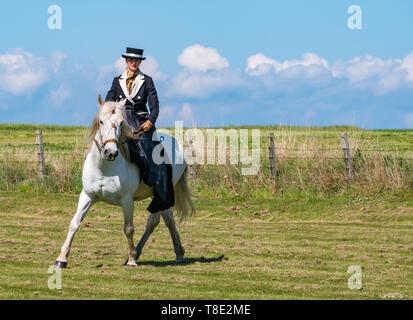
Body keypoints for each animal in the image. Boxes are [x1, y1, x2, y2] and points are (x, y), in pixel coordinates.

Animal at [54, 95, 195, 268]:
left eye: (121, 123)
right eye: (101, 121)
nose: (111, 152)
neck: (104, 168)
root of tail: (178, 144)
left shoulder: (127, 200)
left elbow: (128, 228)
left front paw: (132, 260)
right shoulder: (87, 196)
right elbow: (74, 223)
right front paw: (61, 259)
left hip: (162, 192)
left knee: (160, 220)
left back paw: (162, 254)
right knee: (164, 219)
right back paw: (171, 252)